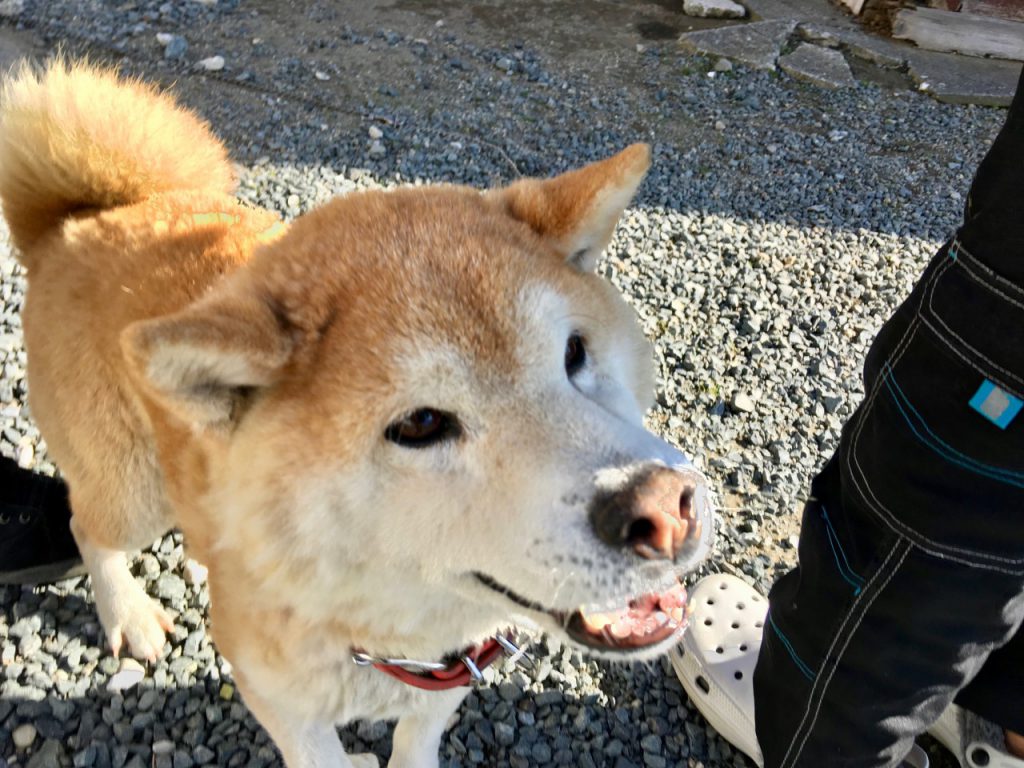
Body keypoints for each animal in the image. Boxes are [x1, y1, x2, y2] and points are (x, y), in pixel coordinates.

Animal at [0, 61, 716, 768]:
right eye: (420, 425)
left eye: (574, 352)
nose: (665, 508)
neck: (383, 632)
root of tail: (83, 217)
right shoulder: (274, 690)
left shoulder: (448, 676)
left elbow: (416, 738)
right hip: (135, 494)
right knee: (86, 524)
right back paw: (129, 614)